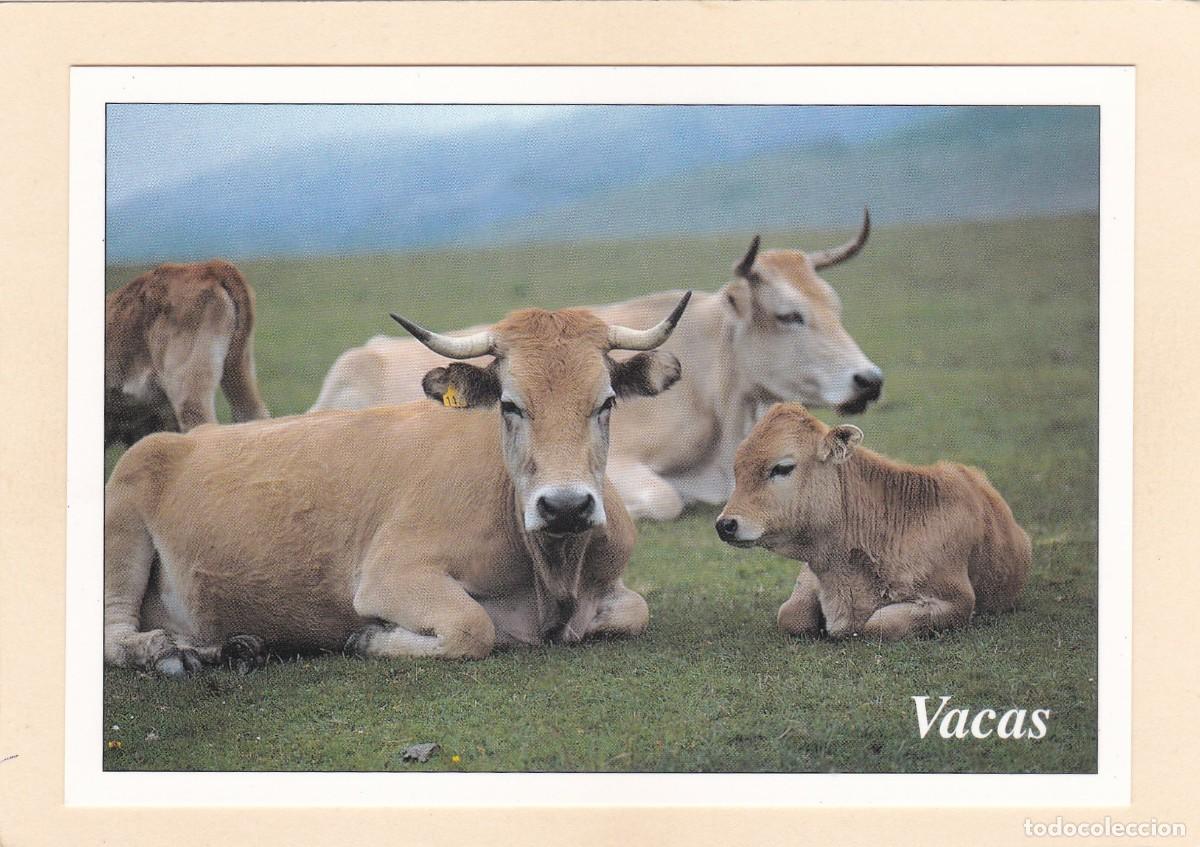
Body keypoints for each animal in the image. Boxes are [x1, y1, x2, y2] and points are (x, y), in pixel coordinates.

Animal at [103, 295, 691, 676]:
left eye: (606, 401)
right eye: (510, 404)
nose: (565, 506)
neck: (552, 573)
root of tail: (176, 440)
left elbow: (636, 611)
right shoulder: (391, 576)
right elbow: (471, 626)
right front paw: (369, 638)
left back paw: (229, 648)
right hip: (122, 529)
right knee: (113, 634)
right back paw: (168, 652)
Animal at [714, 403, 1030, 641]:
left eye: (782, 468)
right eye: (737, 469)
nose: (725, 524)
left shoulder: (958, 602)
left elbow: (879, 625)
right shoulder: (810, 576)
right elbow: (790, 615)